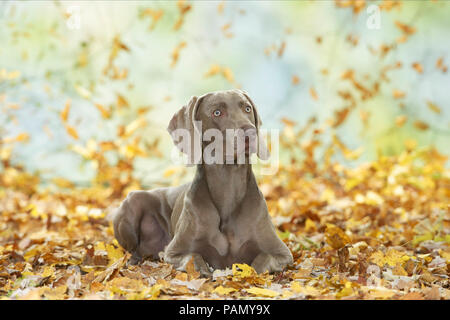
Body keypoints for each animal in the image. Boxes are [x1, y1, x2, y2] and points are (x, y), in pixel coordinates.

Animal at [114, 89, 294, 276]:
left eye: (247, 108)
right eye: (217, 112)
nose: (250, 133)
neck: (228, 184)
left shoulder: (282, 253)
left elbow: (261, 261)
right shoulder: (174, 252)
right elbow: (194, 257)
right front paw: (206, 272)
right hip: (133, 200)